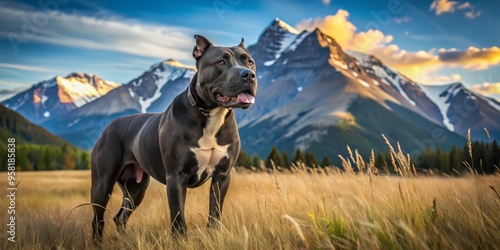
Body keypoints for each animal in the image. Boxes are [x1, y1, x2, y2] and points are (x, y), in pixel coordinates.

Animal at [90, 35, 260, 242]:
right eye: (221, 62)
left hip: (137, 187)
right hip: (102, 184)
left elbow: (214, 212)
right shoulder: (176, 178)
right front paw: (180, 240)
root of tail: (108, 127)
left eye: (249, 62)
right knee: (98, 219)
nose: (249, 75)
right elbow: (178, 216)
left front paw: (214, 236)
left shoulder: (222, 176)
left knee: (120, 217)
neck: (211, 114)